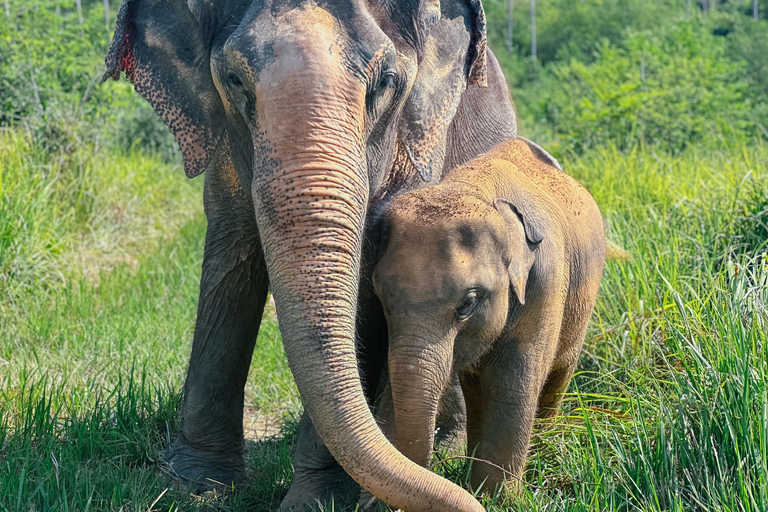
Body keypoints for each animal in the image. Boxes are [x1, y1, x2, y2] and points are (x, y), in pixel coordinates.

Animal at [103, 0, 519, 510]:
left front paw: (315, 502)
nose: (471, 502)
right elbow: (232, 254)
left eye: (386, 83)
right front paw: (196, 486)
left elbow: (365, 294)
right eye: (233, 80)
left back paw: (443, 446)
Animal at [370, 138, 606, 494]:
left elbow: (512, 383)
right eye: (381, 297)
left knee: (558, 376)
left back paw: (544, 449)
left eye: (468, 303)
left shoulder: (546, 282)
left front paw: (496, 498)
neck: (474, 191)